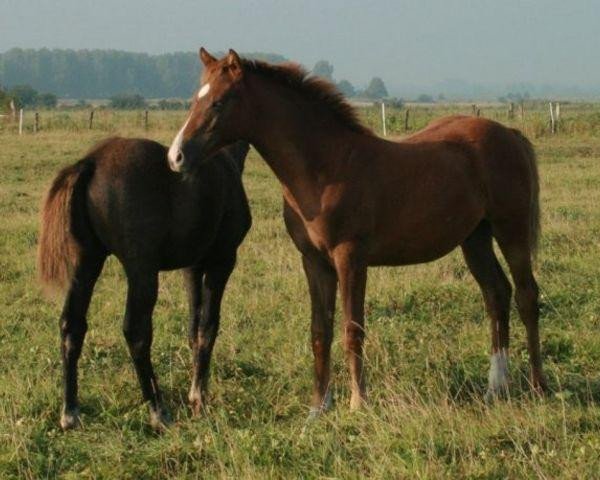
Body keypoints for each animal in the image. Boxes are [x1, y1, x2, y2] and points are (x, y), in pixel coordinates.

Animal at [38, 137, 251, 430]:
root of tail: (90, 162)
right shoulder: (223, 260)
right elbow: (208, 326)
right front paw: (199, 398)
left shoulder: (192, 267)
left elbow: (193, 328)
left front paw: (196, 389)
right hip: (142, 270)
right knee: (136, 331)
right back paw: (158, 411)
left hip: (87, 261)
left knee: (71, 325)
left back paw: (70, 413)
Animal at [168, 47, 544, 416]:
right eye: (195, 98)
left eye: (219, 102)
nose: (176, 156)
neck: (326, 168)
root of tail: (509, 133)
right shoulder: (314, 261)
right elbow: (320, 330)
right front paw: (318, 407)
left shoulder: (350, 258)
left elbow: (352, 328)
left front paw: (357, 402)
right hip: (475, 238)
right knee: (496, 294)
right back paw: (496, 387)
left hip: (510, 229)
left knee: (526, 295)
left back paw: (537, 385)